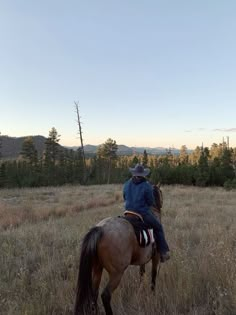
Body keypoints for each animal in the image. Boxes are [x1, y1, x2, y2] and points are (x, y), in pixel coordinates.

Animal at [74, 184, 163, 314]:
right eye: (160, 192)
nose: (160, 205)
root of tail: (101, 229)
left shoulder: (143, 259)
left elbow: (142, 274)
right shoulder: (155, 256)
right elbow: (153, 275)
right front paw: (152, 294)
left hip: (97, 268)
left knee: (94, 293)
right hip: (117, 273)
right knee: (105, 295)